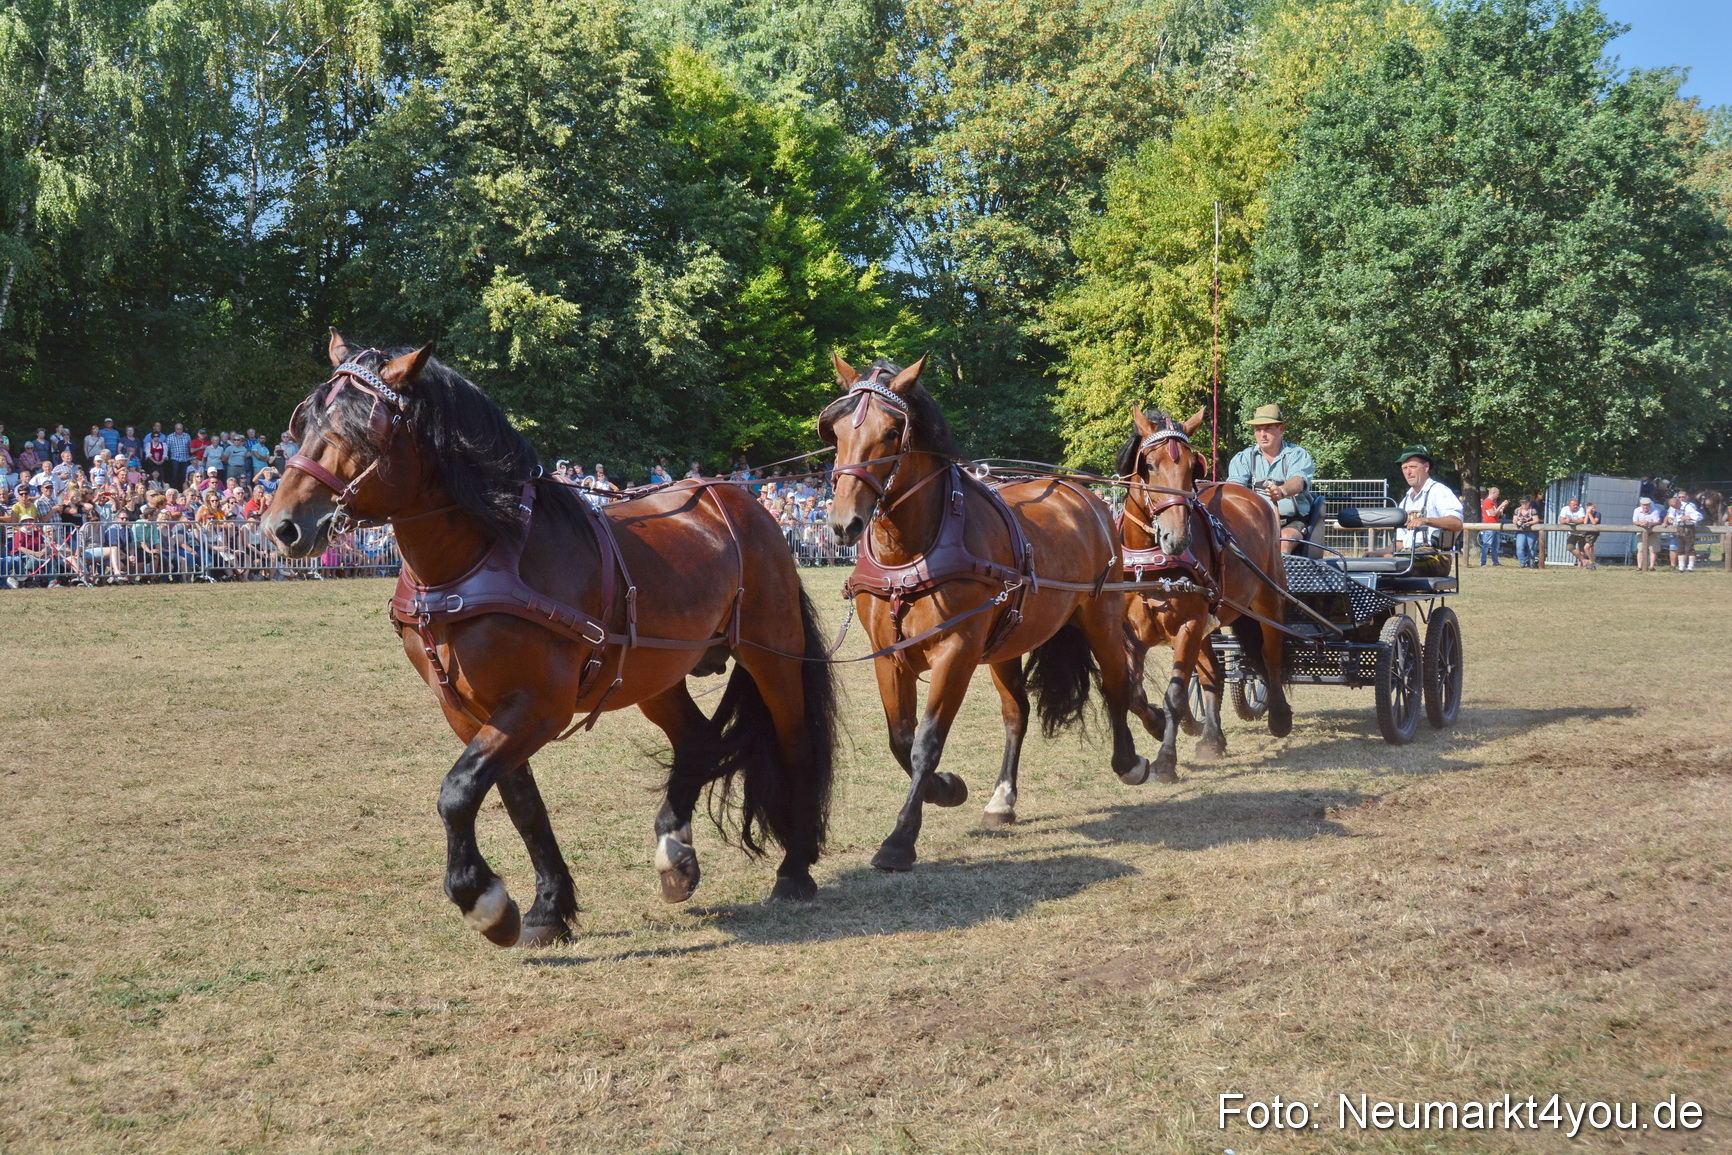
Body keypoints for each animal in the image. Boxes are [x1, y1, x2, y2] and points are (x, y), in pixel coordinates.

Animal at [263, 333, 838, 948]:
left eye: (361, 432)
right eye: (304, 423)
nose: (281, 527)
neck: (479, 557)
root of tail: (737, 500)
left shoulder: (540, 705)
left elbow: (458, 791)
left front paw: (482, 901)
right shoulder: (469, 709)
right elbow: (520, 804)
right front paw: (547, 907)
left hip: (772, 654)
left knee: (796, 740)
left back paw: (795, 868)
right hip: (652, 673)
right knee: (698, 742)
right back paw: (675, 855)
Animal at [822, 353, 1151, 871]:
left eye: (893, 432)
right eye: (834, 430)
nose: (842, 524)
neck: (911, 550)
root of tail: (1084, 495)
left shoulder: (956, 651)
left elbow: (926, 743)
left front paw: (901, 836)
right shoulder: (888, 655)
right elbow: (900, 738)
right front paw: (946, 789)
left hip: (1100, 615)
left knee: (1117, 683)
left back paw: (1130, 759)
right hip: (1006, 643)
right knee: (1017, 712)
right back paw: (1002, 798)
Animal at [1116, 405, 1293, 779]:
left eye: (1191, 468)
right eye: (1149, 466)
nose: (1177, 538)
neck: (1147, 562)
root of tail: (1252, 496)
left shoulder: (1187, 626)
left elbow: (1176, 694)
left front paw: (1166, 760)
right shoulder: (1129, 633)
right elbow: (1133, 692)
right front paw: (1156, 724)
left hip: (1268, 601)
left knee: (1270, 654)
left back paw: (1279, 717)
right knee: (1212, 672)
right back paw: (1213, 738)